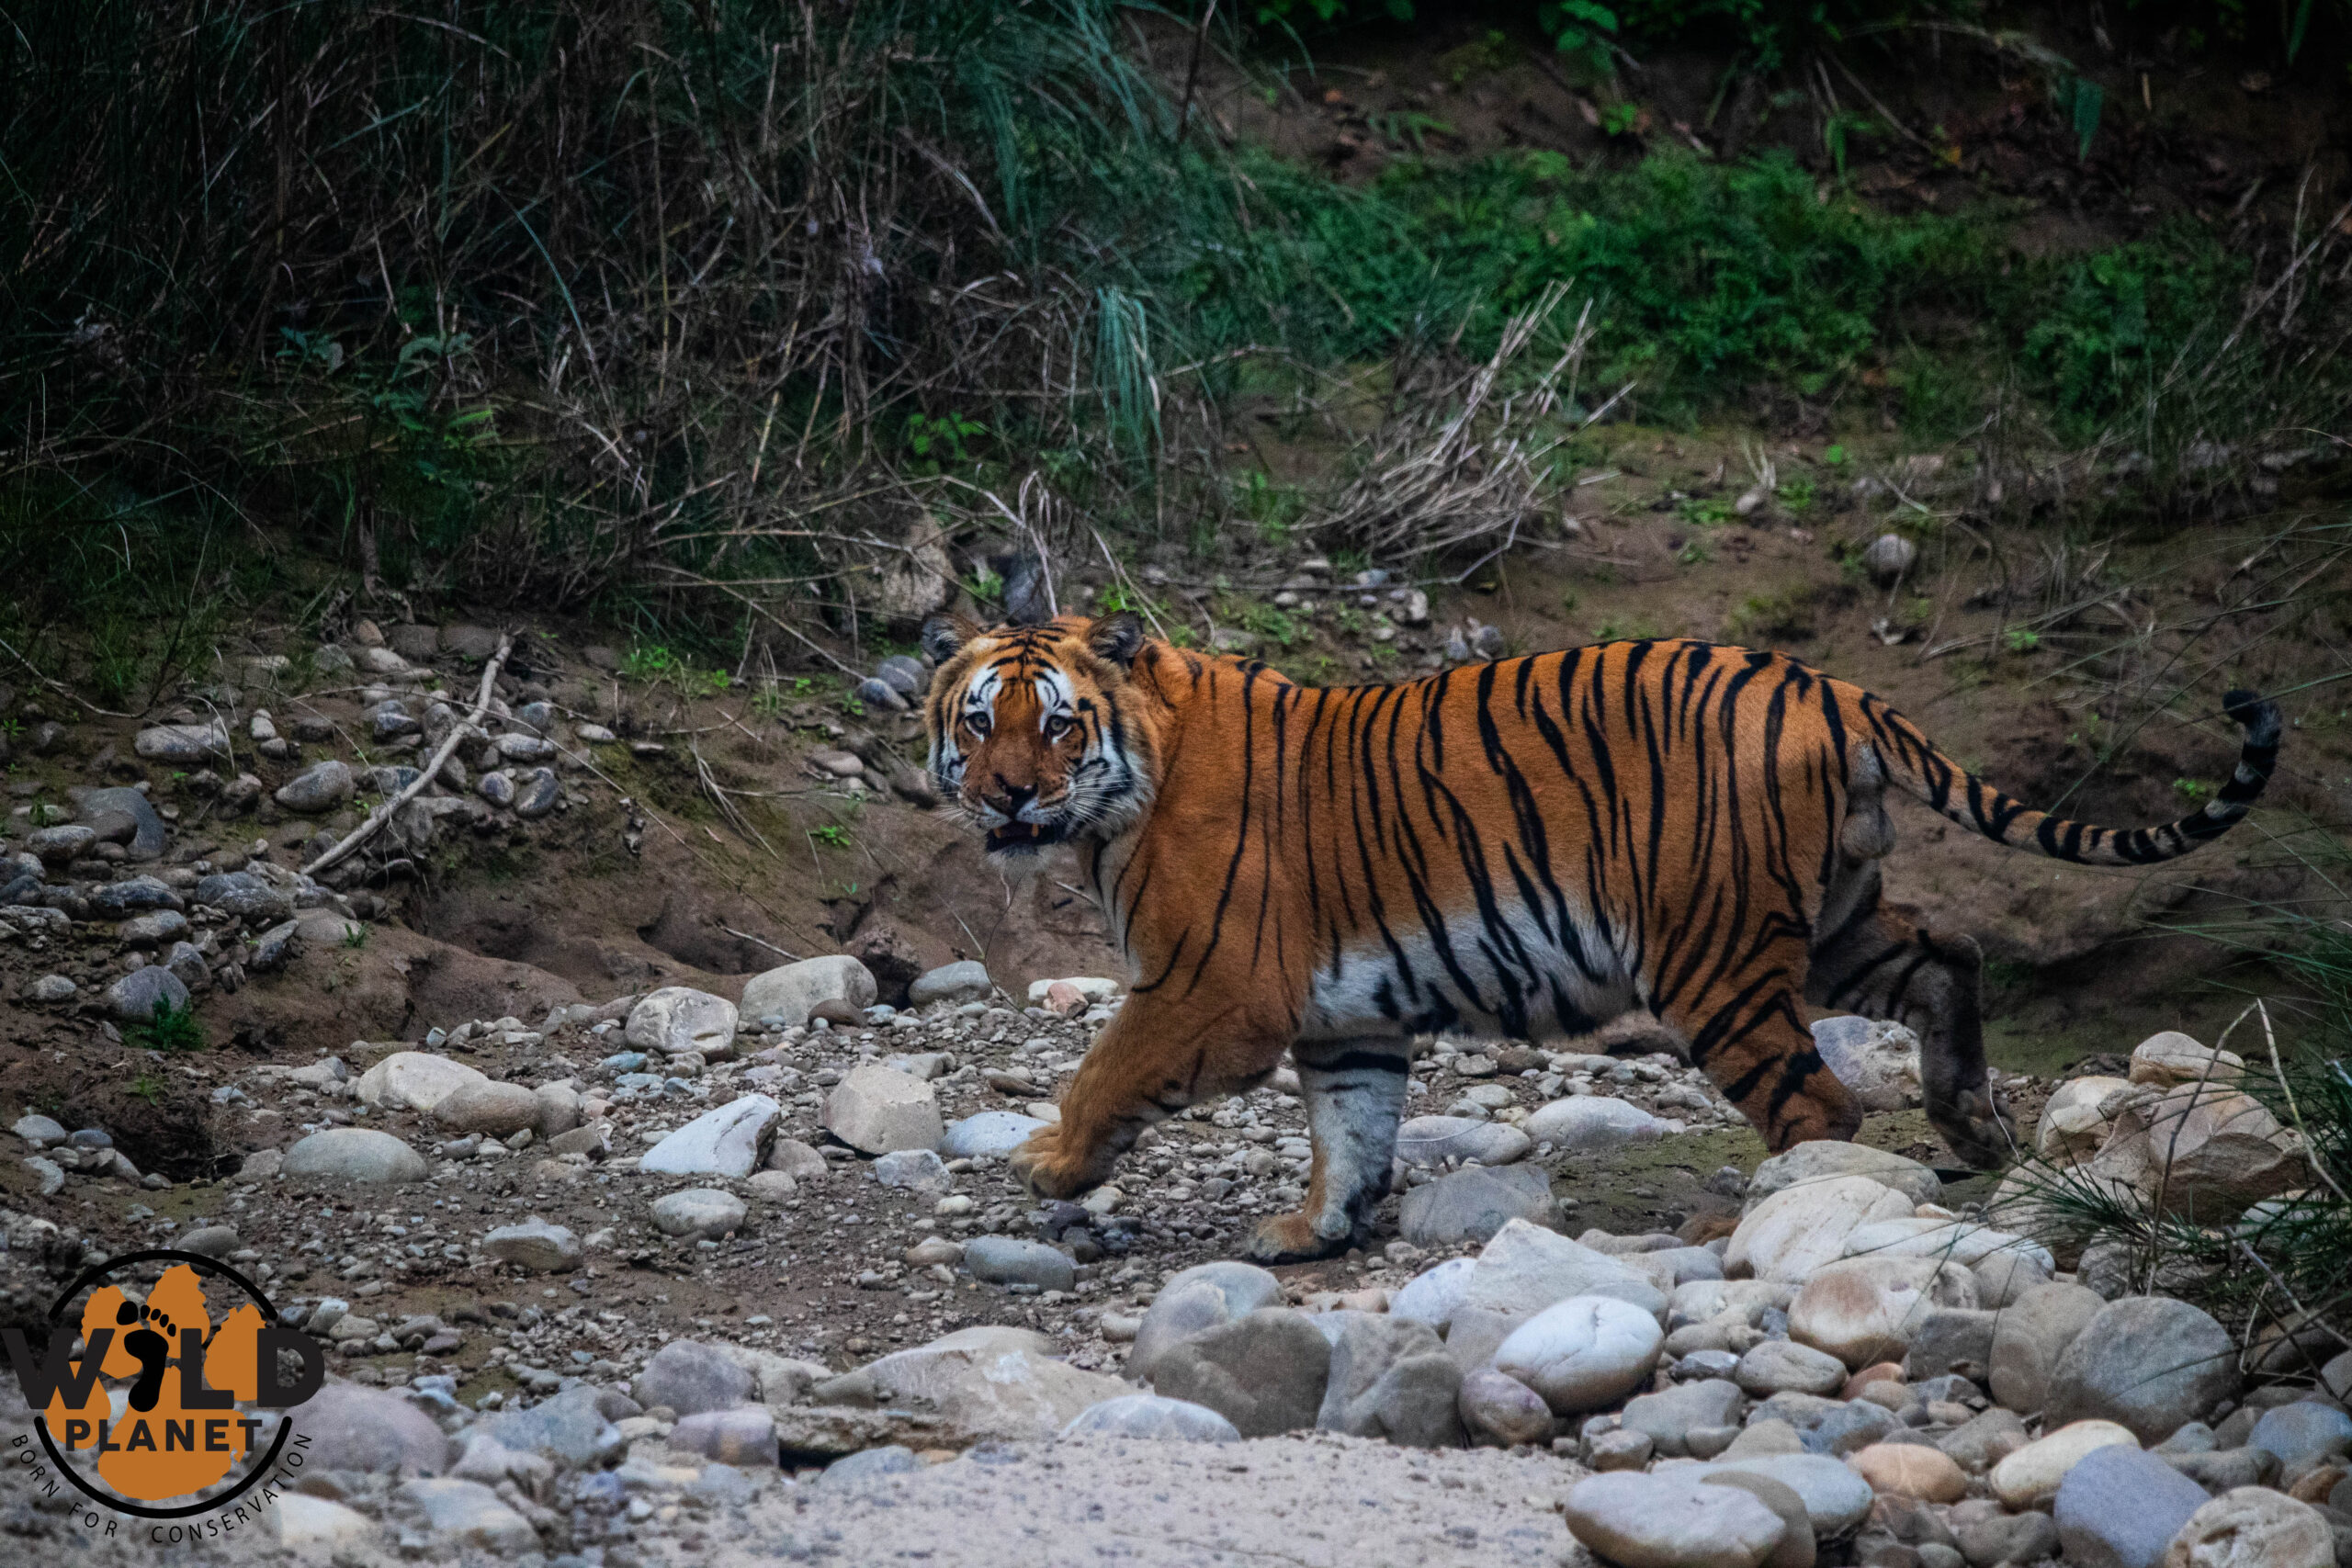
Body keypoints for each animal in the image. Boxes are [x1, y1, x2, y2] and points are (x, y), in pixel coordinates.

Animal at [918, 611, 2282, 1264]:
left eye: (1055, 723)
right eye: (979, 719)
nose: (1005, 796)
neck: (1118, 797)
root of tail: (1829, 684)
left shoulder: (1210, 985)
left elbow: (1104, 1067)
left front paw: (1051, 1163)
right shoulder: (1343, 1019)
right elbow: (1350, 1131)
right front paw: (1316, 1230)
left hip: (1711, 953)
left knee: (1819, 1105)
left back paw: (1760, 1222)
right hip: (1831, 921)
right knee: (1949, 957)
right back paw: (1968, 1127)